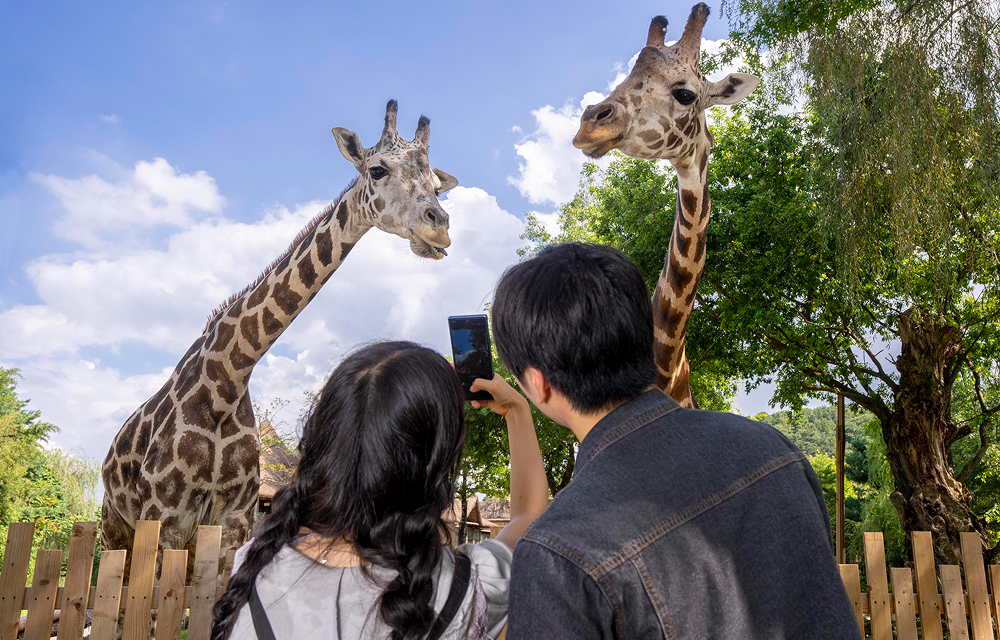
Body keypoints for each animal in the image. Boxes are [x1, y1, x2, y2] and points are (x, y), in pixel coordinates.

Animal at [100, 100, 458, 575]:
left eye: (438, 185)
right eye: (378, 169)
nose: (439, 228)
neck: (228, 379)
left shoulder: (234, 520)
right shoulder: (165, 517)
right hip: (115, 527)